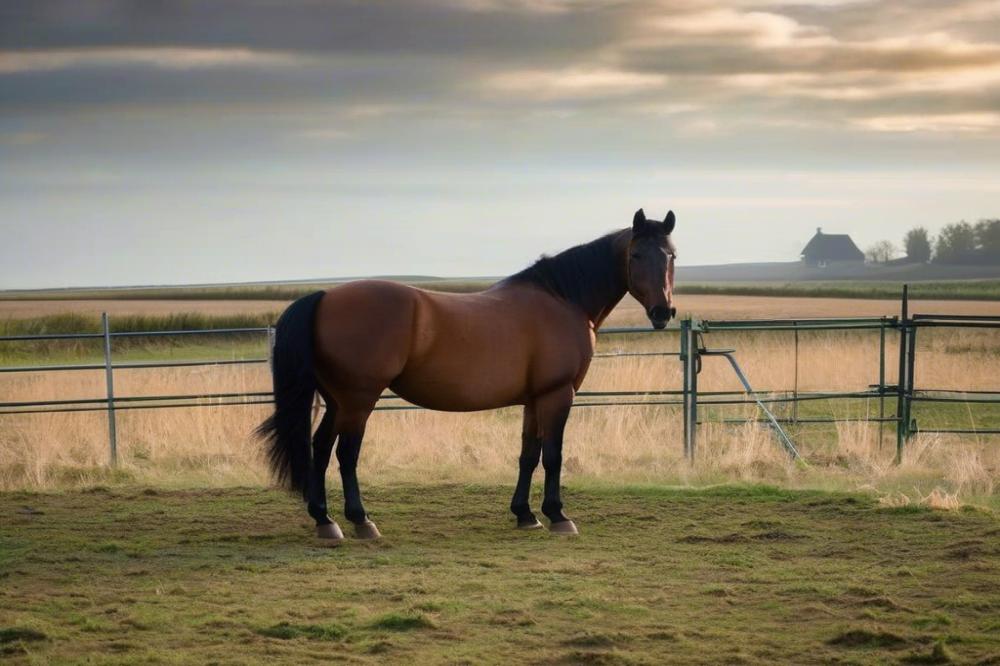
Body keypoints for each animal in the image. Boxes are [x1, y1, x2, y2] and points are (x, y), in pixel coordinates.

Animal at [258, 209, 680, 544]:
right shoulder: (559, 394)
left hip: (337, 401)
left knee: (320, 447)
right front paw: (558, 515)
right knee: (346, 454)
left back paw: (325, 521)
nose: (663, 312)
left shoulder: (534, 399)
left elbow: (528, 455)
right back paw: (361, 522)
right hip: (359, 401)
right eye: (636, 254)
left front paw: (525, 515)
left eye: (672, 255)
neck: (562, 299)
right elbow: (553, 455)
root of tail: (325, 296)